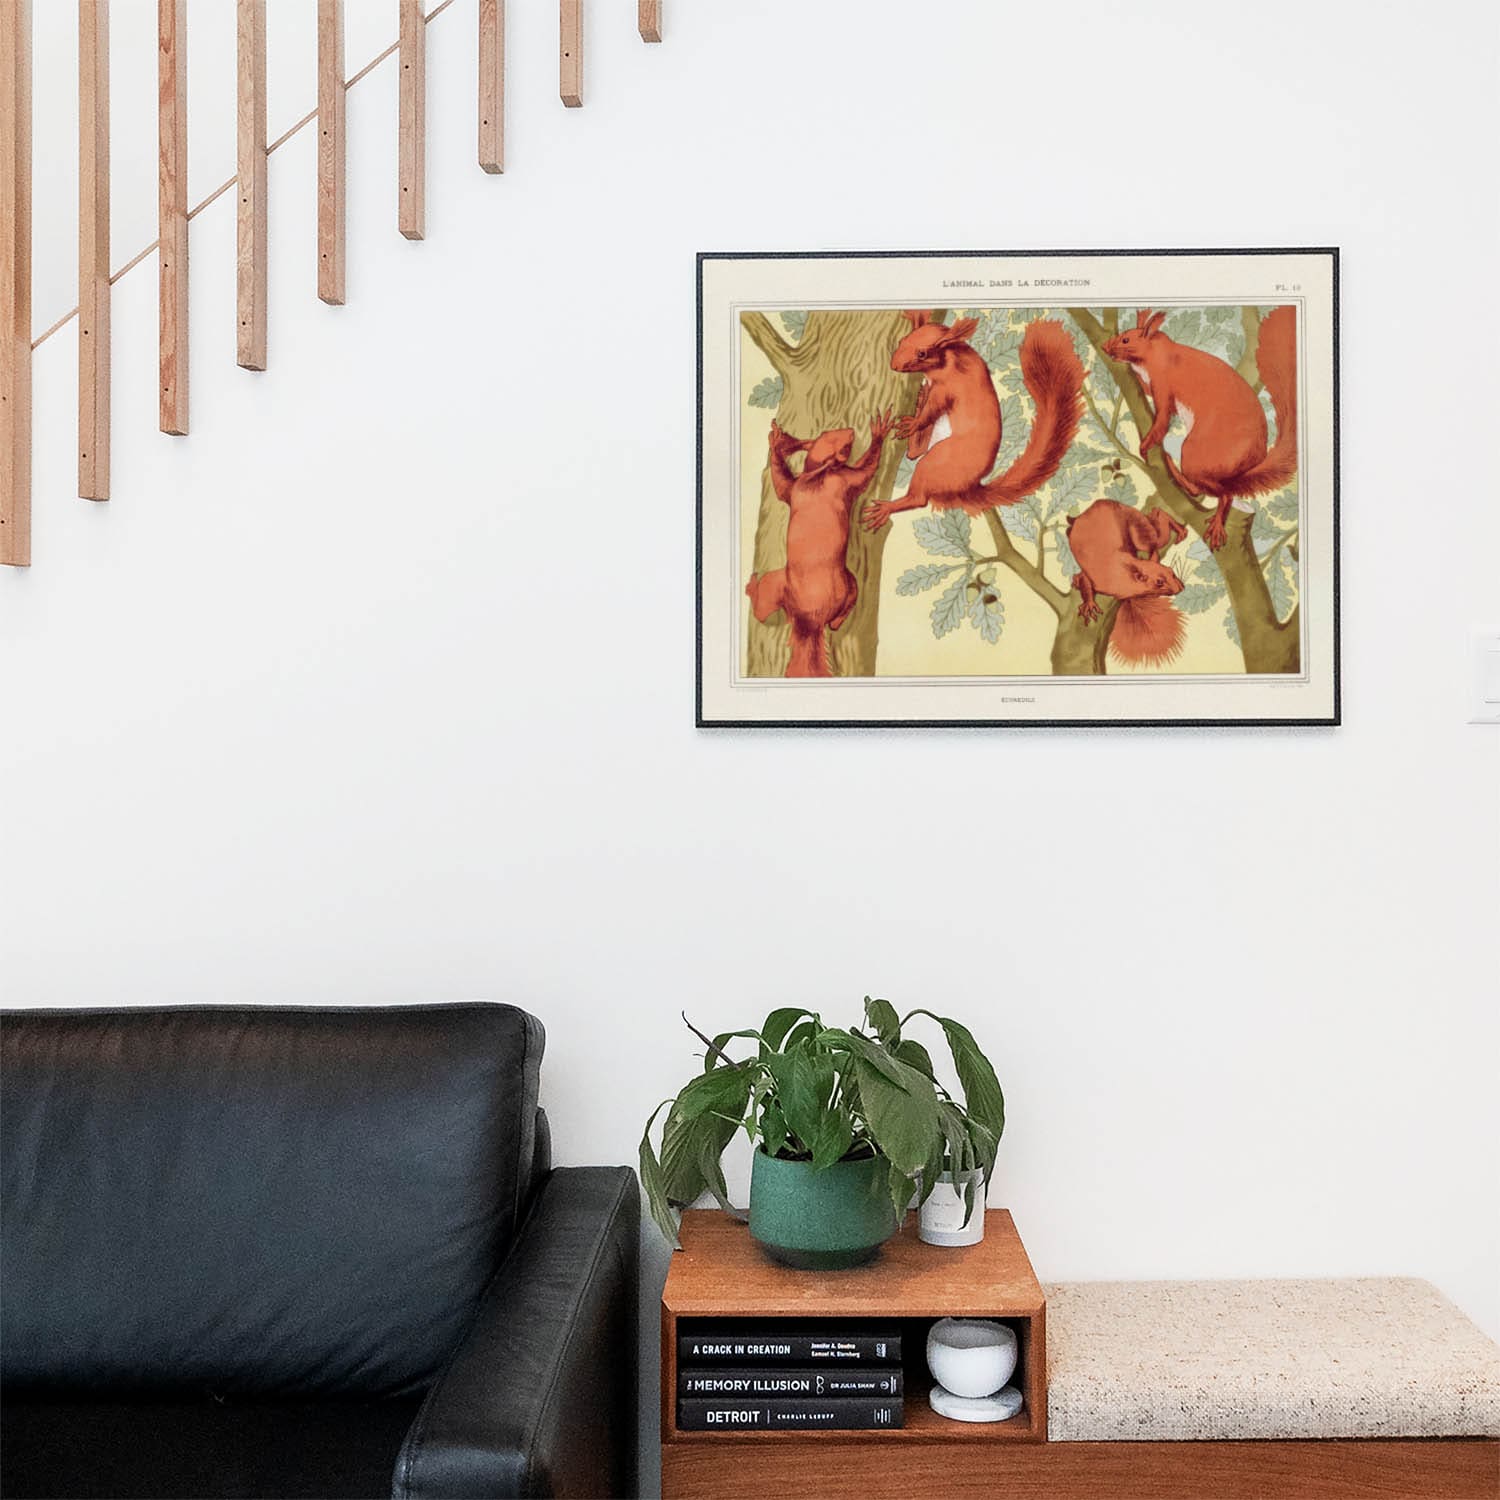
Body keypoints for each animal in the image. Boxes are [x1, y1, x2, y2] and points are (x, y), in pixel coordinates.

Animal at [747, 405, 888, 675]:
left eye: (828, 434)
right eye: (844, 447)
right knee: (761, 610)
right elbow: (865, 470)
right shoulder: (841, 478)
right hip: (786, 582)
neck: (817, 477)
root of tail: (809, 622)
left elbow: (782, 483)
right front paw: (879, 433)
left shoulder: (801, 485)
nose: (850, 431)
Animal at [864, 307, 1086, 531]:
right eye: (902, 341)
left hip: (936, 461)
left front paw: (914, 422)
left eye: (922, 353)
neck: (950, 360)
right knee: (914, 452)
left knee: (919, 496)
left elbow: (931, 412)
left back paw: (888, 507)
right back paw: (919, 401)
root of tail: (968, 487)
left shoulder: (946, 390)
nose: (894, 365)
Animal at [1074, 501, 1188, 666]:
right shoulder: (1099, 579)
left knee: (1153, 537)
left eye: (1172, 572)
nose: (1180, 587)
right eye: (1159, 582)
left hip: (1135, 522)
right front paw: (1088, 604)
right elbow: (1085, 580)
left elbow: (1154, 553)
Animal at [1104, 304, 1302, 552]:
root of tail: (1244, 468)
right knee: (1203, 489)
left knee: (1221, 493)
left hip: (1194, 454)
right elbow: (1146, 391)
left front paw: (1146, 445)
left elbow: (1161, 421)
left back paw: (1214, 519)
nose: (1105, 347)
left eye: (1126, 339)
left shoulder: (1164, 384)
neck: (1159, 352)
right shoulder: (1153, 385)